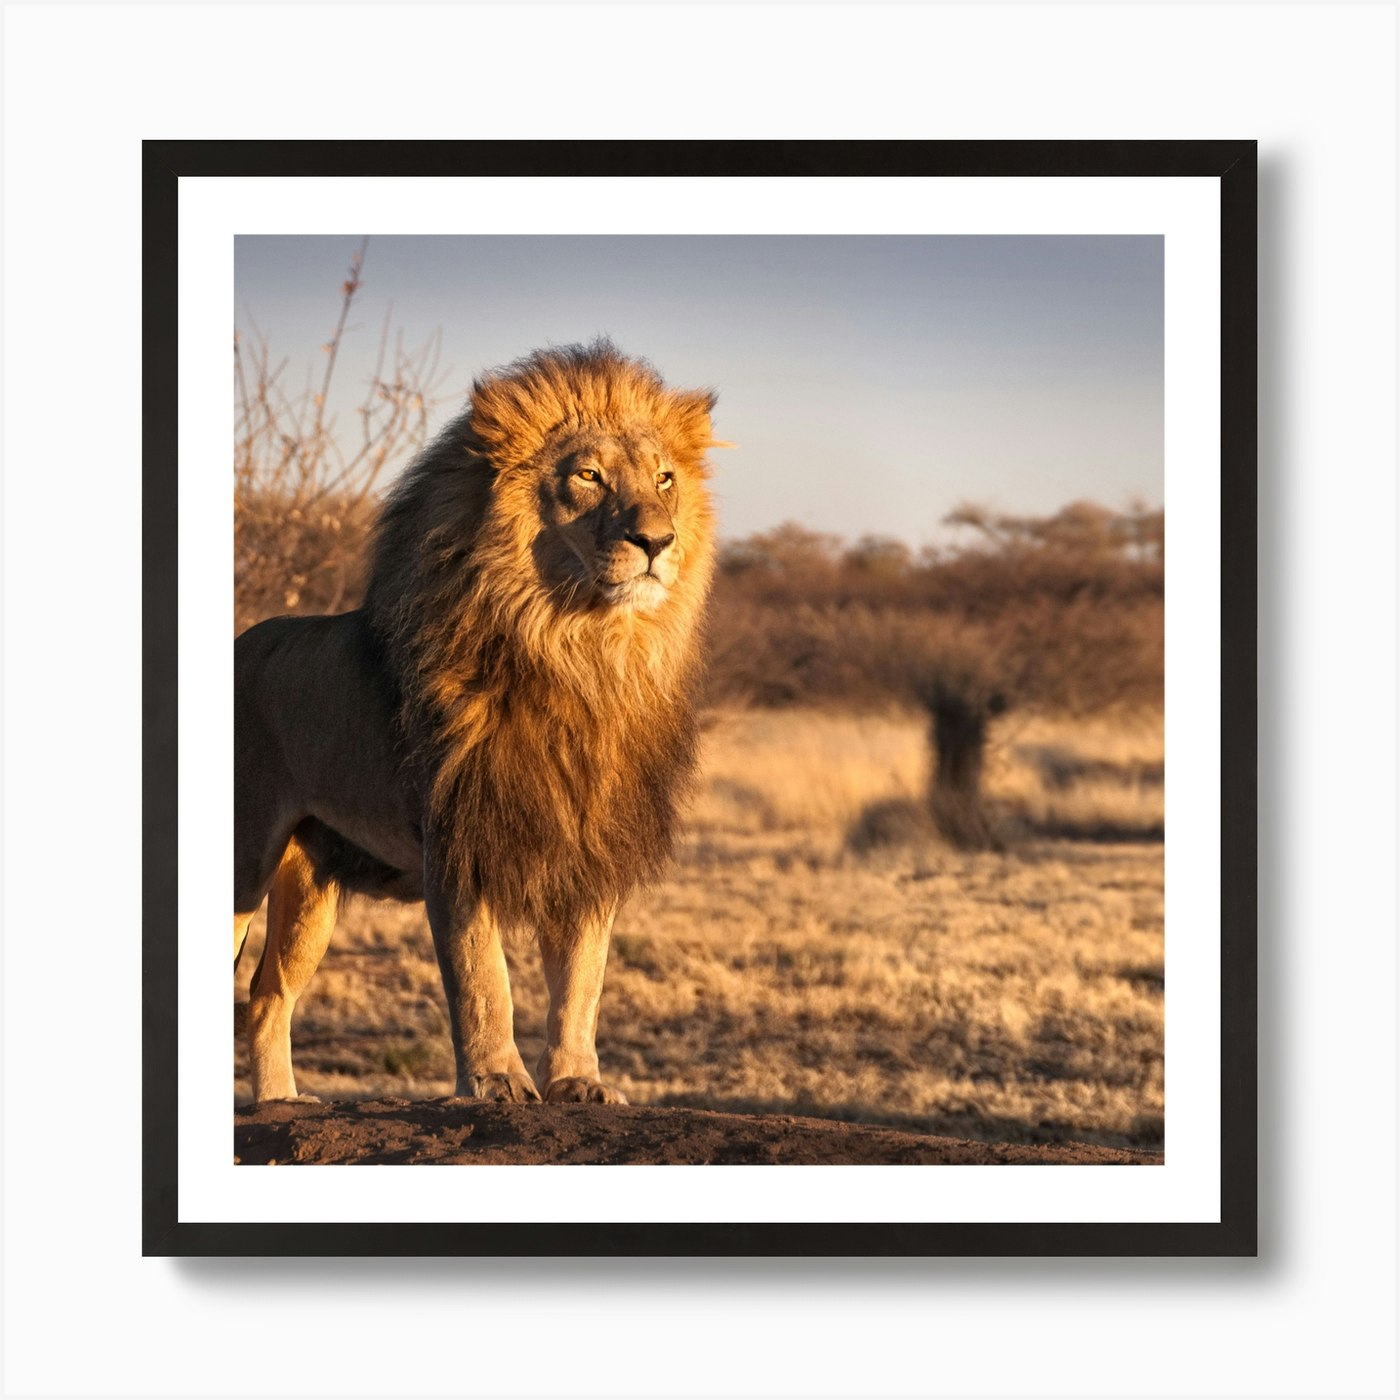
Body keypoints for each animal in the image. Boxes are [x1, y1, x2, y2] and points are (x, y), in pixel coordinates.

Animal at [234, 341, 719, 1105]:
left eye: (664, 478)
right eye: (588, 476)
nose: (657, 540)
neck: (581, 654)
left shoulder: (590, 845)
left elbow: (582, 981)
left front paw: (579, 1081)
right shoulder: (457, 838)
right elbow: (481, 976)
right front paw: (496, 1082)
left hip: (310, 881)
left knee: (266, 995)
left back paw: (281, 1099)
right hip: (243, 858)